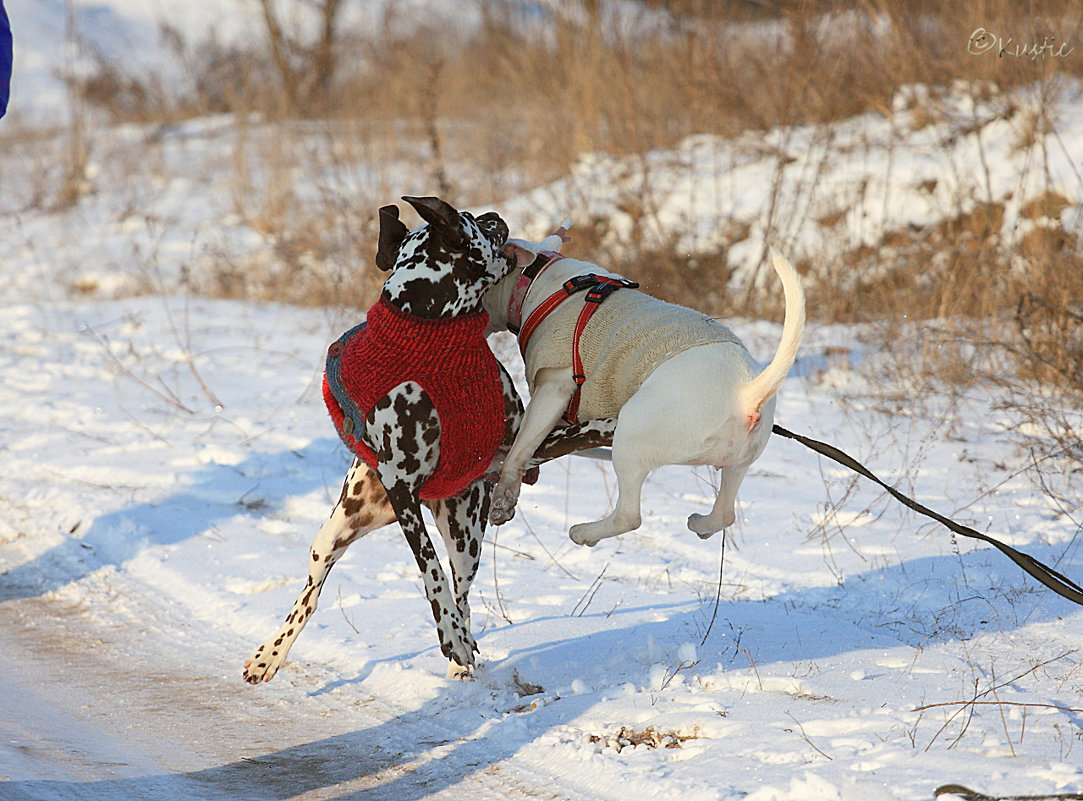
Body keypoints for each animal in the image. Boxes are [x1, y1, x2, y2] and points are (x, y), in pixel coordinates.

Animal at [483, 228, 805, 547]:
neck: (539, 281)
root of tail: (747, 394)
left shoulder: (552, 387)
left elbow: (520, 448)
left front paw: (503, 497)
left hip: (631, 439)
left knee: (629, 515)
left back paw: (584, 532)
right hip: (737, 463)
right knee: (725, 512)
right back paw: (700, 524)